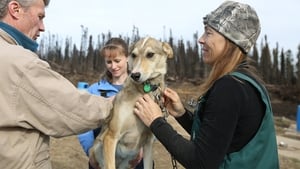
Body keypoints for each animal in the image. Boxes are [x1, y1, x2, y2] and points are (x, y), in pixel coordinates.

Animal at [89, 36, 173, 168]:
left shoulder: (148, 143)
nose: (135, 75)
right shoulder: (111, 136)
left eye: (150, 54)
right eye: (133, 55)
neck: (144, 91)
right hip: (98, 148)